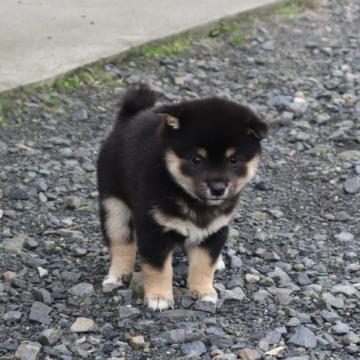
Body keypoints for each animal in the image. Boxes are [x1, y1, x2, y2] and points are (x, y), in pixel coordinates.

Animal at [96, 83, 268, 310]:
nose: (218, 188)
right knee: (121, 244)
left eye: (233, 160)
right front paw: (159, 297)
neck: (192, 200)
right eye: (196, 159)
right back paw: (116, 276)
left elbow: (204, 263)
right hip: (114, 207)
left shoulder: (216, 227)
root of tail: (128, 119)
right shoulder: (153, 229)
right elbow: (159, 268)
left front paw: (204, 291)